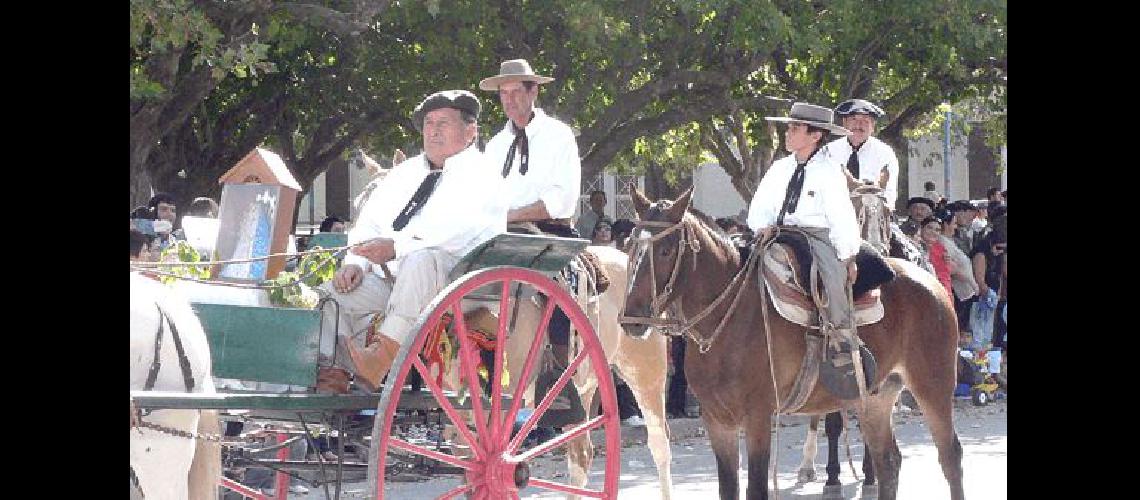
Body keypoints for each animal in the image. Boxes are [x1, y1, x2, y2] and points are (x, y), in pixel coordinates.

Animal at [624, 189, 962, 500]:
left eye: (666, 250)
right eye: (629, 246)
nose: (631, 318)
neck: (727, 319)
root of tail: (930, 280)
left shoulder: (758, 417)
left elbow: (756, 489)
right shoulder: (717, 421)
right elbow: (728, 489)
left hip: (933, 385)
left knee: (949, 456)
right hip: (876, 396)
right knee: (888, 461)